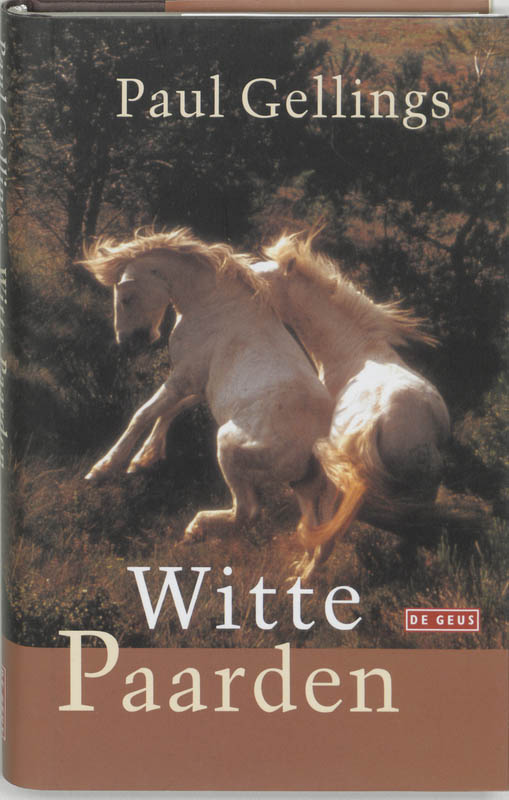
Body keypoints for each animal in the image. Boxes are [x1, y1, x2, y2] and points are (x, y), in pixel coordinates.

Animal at [81, 228, 338, 555]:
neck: (214, 305)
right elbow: (171, 411)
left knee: (247, 512)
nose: (128, 342)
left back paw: (195, 528)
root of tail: (317, 445)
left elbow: (144, 414)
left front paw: (104, 468)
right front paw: (144, 458)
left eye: (126, 298)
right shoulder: (198, 386)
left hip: (227, 447)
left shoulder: (182, 378)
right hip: (303, 488)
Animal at [254, 233, 451, 579]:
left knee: (326, 535)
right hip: (423, 485)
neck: (353, 351)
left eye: (262, 277)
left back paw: (302, 576)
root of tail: (378, 424)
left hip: (341, 482)